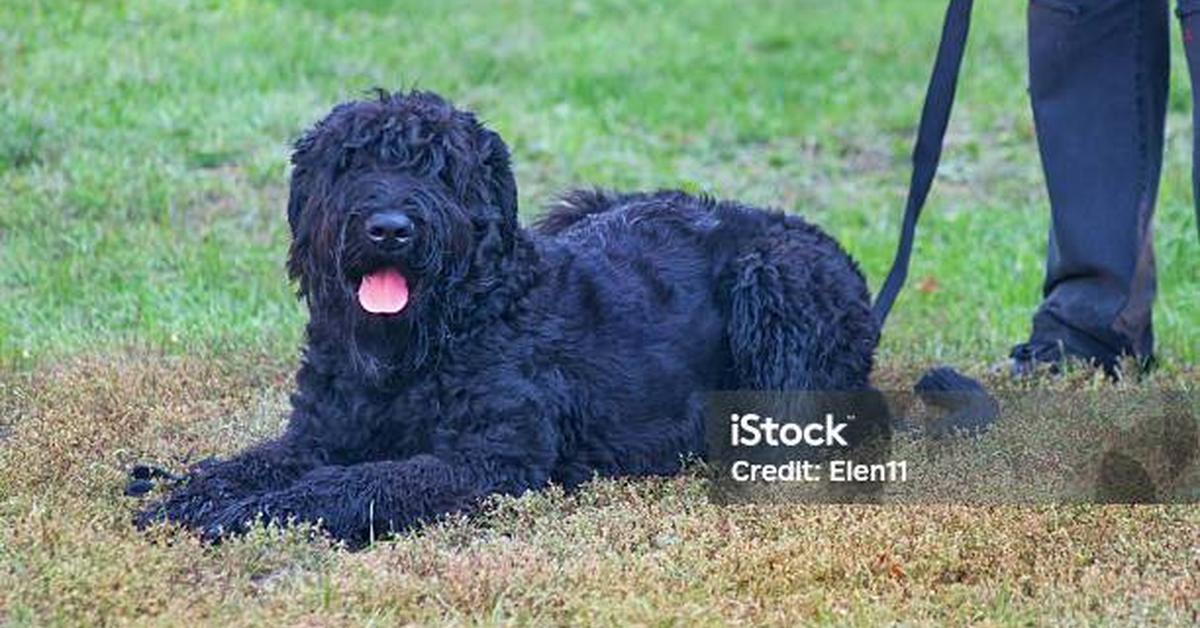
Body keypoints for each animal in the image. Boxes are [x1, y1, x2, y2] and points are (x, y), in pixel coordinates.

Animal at [133, 90, 883, 547]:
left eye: (440, 171)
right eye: (352, 163)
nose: (389, 228)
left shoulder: (484, 460)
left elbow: (349, 483)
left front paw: (245, 513)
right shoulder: (320, 433)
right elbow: (261, 462)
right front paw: (196, 490)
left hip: (773, 280)